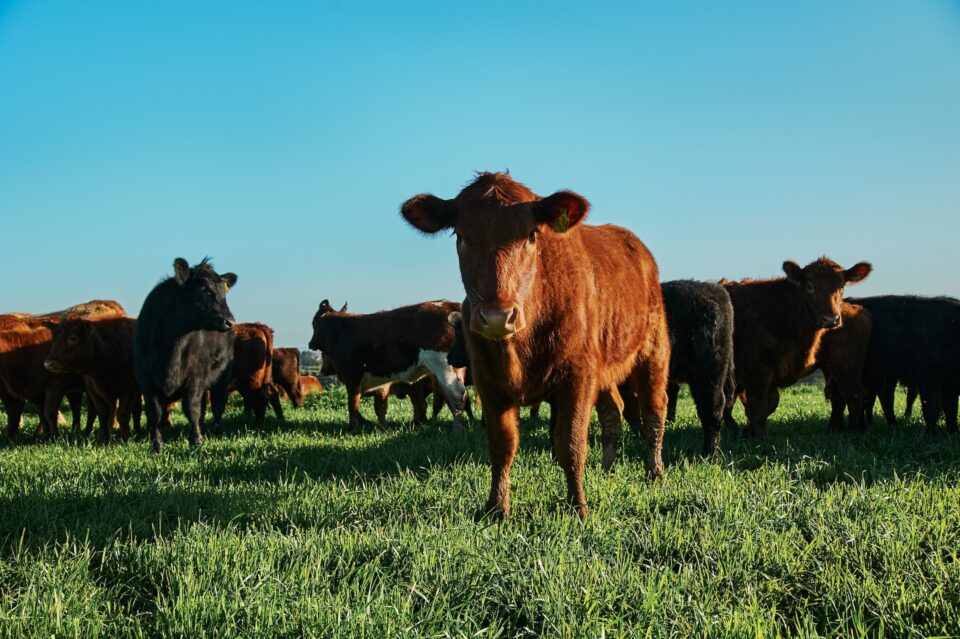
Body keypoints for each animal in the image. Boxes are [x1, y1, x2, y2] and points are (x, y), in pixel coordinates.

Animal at [133, 258, 237, 452]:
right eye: (204, 289)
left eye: (224, 292)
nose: (230, 321)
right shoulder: (145, 379)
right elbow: (155, 413)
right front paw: (157, 445)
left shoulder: (196, 375)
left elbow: (191, 409)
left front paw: (196, 441)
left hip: (222, 377)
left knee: (217, 405)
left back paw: (215, 431)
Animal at [308, 300, 468, 432]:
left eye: (313, 323)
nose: (310, 343)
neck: (341, 332)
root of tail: (449, 304)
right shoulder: (376, 384)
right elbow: (379, 407)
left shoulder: (352, 377)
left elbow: (352, 404)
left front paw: (351, 428)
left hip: (443, 366)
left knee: (456, 393)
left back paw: (457, 429)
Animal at [401, 171, 669, 519]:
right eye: (460, 236)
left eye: (530, 235)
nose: (497, 317)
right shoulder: (488, 380)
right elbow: (502, 444)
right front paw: (497, 507)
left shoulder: (577, 376)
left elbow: (570, 443)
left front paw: (578, 506)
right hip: (605, 371)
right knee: (614, 413)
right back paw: (607, 468)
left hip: (653, 352)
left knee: (654, 412)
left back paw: (654, 471)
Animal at [849, 295, 960, 432]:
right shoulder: (927, 375)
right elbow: (932, 408)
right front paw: (930, 433)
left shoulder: (949, 383)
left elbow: (951, 409)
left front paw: (952, 431)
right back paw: (862, 427)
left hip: (884, 376)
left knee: (883, 397)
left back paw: (890, 424)